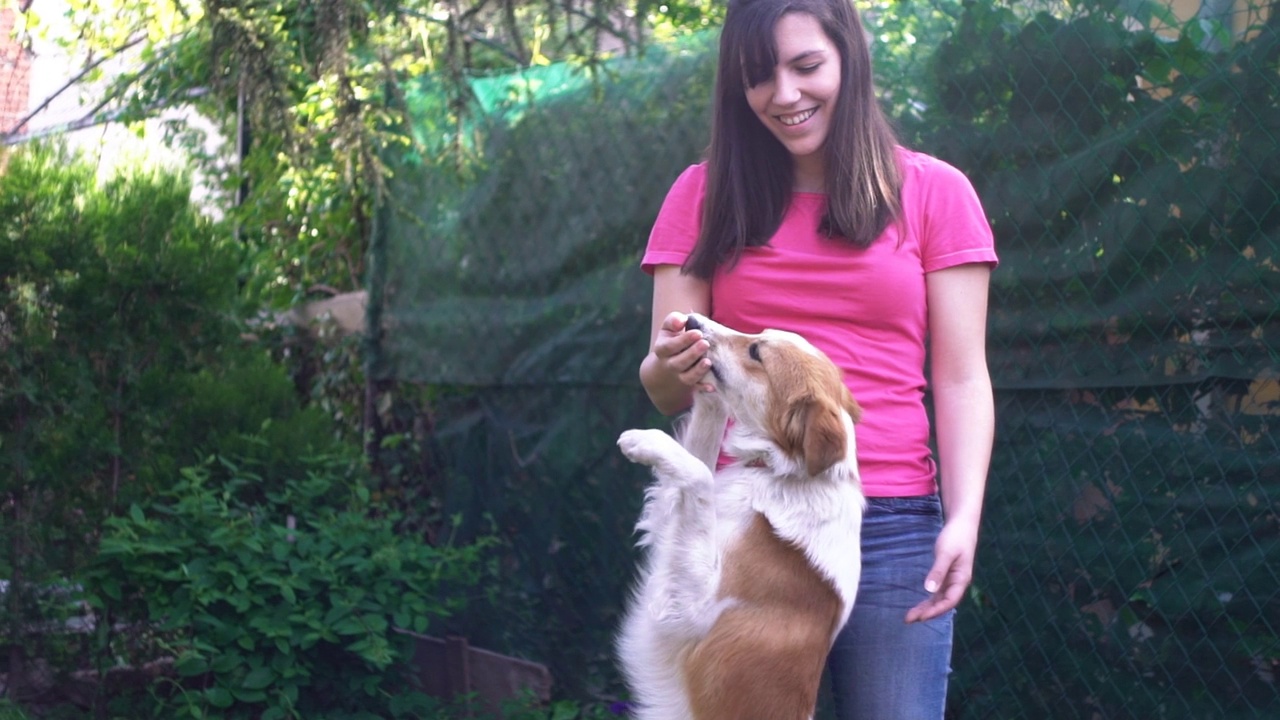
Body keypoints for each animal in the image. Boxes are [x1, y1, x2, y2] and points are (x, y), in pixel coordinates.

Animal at [614, 312, 865, 717]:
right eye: (758, 334)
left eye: (756, 351)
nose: (693, 320)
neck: (780, 474)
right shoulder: (669, 525)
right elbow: (699, 454)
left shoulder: (685, 610)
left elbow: (700, 476)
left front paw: (645, 440)